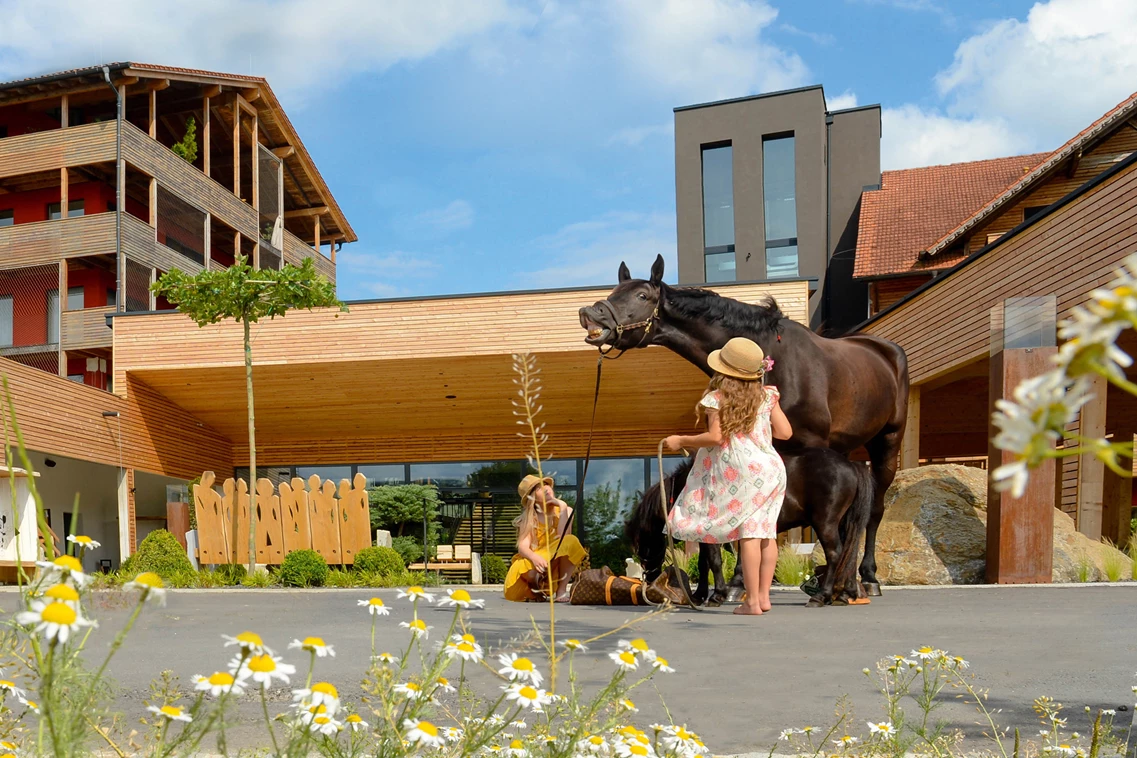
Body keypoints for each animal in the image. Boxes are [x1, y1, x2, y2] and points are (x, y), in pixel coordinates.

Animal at [632, 450, 868, 604]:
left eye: (642, 543)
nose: (649, 580)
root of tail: (850, 466)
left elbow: (714, 561)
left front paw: (718, 594)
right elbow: (703, 563)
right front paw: (699, 595)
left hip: (825, 523)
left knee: (835, 553)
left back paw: (822, 595)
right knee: (850, 553)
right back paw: (844, 593)